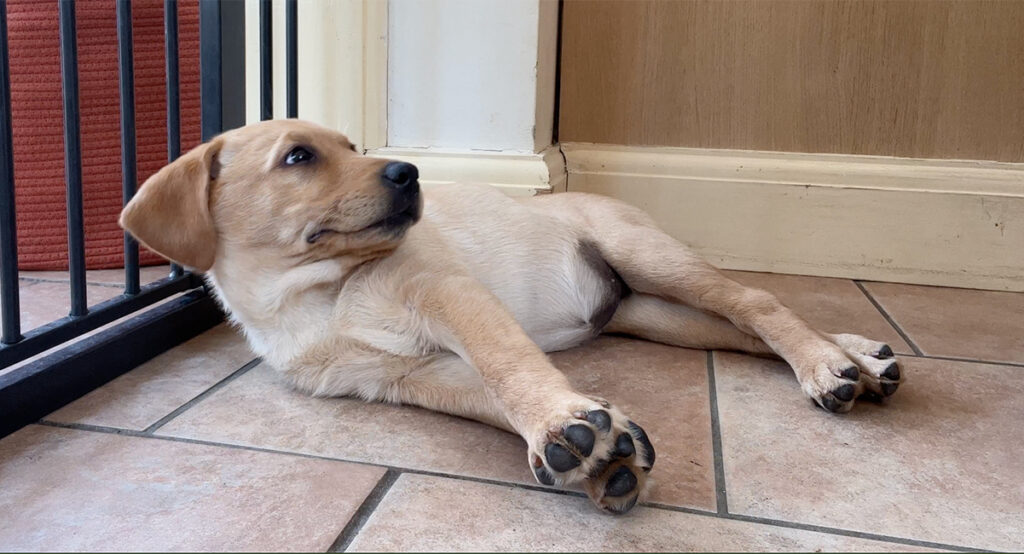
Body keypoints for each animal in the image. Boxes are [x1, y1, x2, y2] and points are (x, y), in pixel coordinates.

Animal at [121, 118, 905, 512]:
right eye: (298, 157)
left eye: (351, 146)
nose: (409, 172)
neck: (313, 297)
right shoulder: (408, 378)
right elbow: (490, 397)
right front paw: (600, 451)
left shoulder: (450, 296)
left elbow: (509, 368)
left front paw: (561, 424)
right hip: (652, 311)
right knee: (736, 330)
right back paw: (860, 356)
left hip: (652, 258)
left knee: (754, 301)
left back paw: (827, 364)